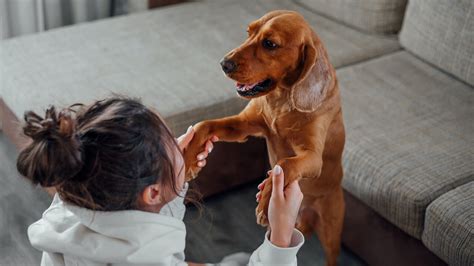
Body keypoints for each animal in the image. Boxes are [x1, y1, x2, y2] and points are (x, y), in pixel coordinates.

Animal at [184, 10, 344, 266]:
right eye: (248, 32)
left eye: (270, 44)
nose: (224, 64)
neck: (281, 99)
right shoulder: (243, 126)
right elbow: (204, 125)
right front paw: (189, 159)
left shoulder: (312, 157)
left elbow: (286, 164)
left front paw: (267, 199)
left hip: (331, 232)